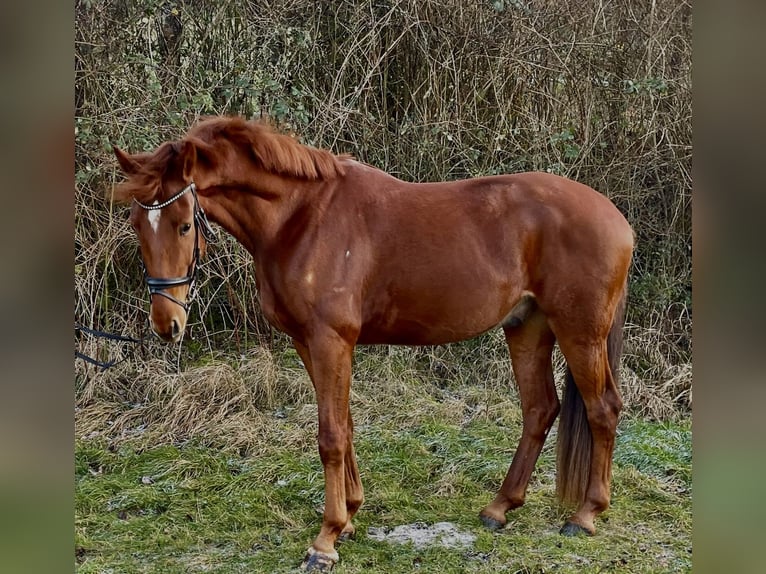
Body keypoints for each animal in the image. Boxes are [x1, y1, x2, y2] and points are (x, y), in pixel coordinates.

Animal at [109, 116, 636, 572]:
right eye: (136, 224)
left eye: (183, 224)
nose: (167, 324)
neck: (301, 218)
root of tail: (617, 219)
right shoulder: (309, 344)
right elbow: (344, 425)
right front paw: (350, 516)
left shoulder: (331, 341)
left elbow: (330, 436)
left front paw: (325, 540)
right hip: (527, 327)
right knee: (539, 409)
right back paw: (499, 508)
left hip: (579, 333)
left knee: (603, 409)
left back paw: (586, 515)